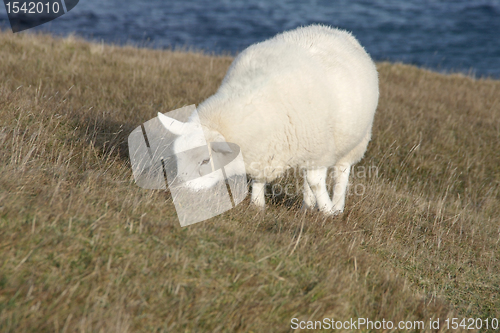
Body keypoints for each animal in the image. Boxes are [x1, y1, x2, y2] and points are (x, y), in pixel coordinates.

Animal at [158, 24, 376, 215]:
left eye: (205, 160)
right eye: (177, 156)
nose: (181, 191)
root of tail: (336, 30)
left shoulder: (319, 146)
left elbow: (315, 181)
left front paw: (328, 211)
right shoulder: (265, 148)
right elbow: (259, 176)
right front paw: (257, 205)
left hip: (355, 140)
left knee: (341, 172)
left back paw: (337, 206)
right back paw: (306, 208)